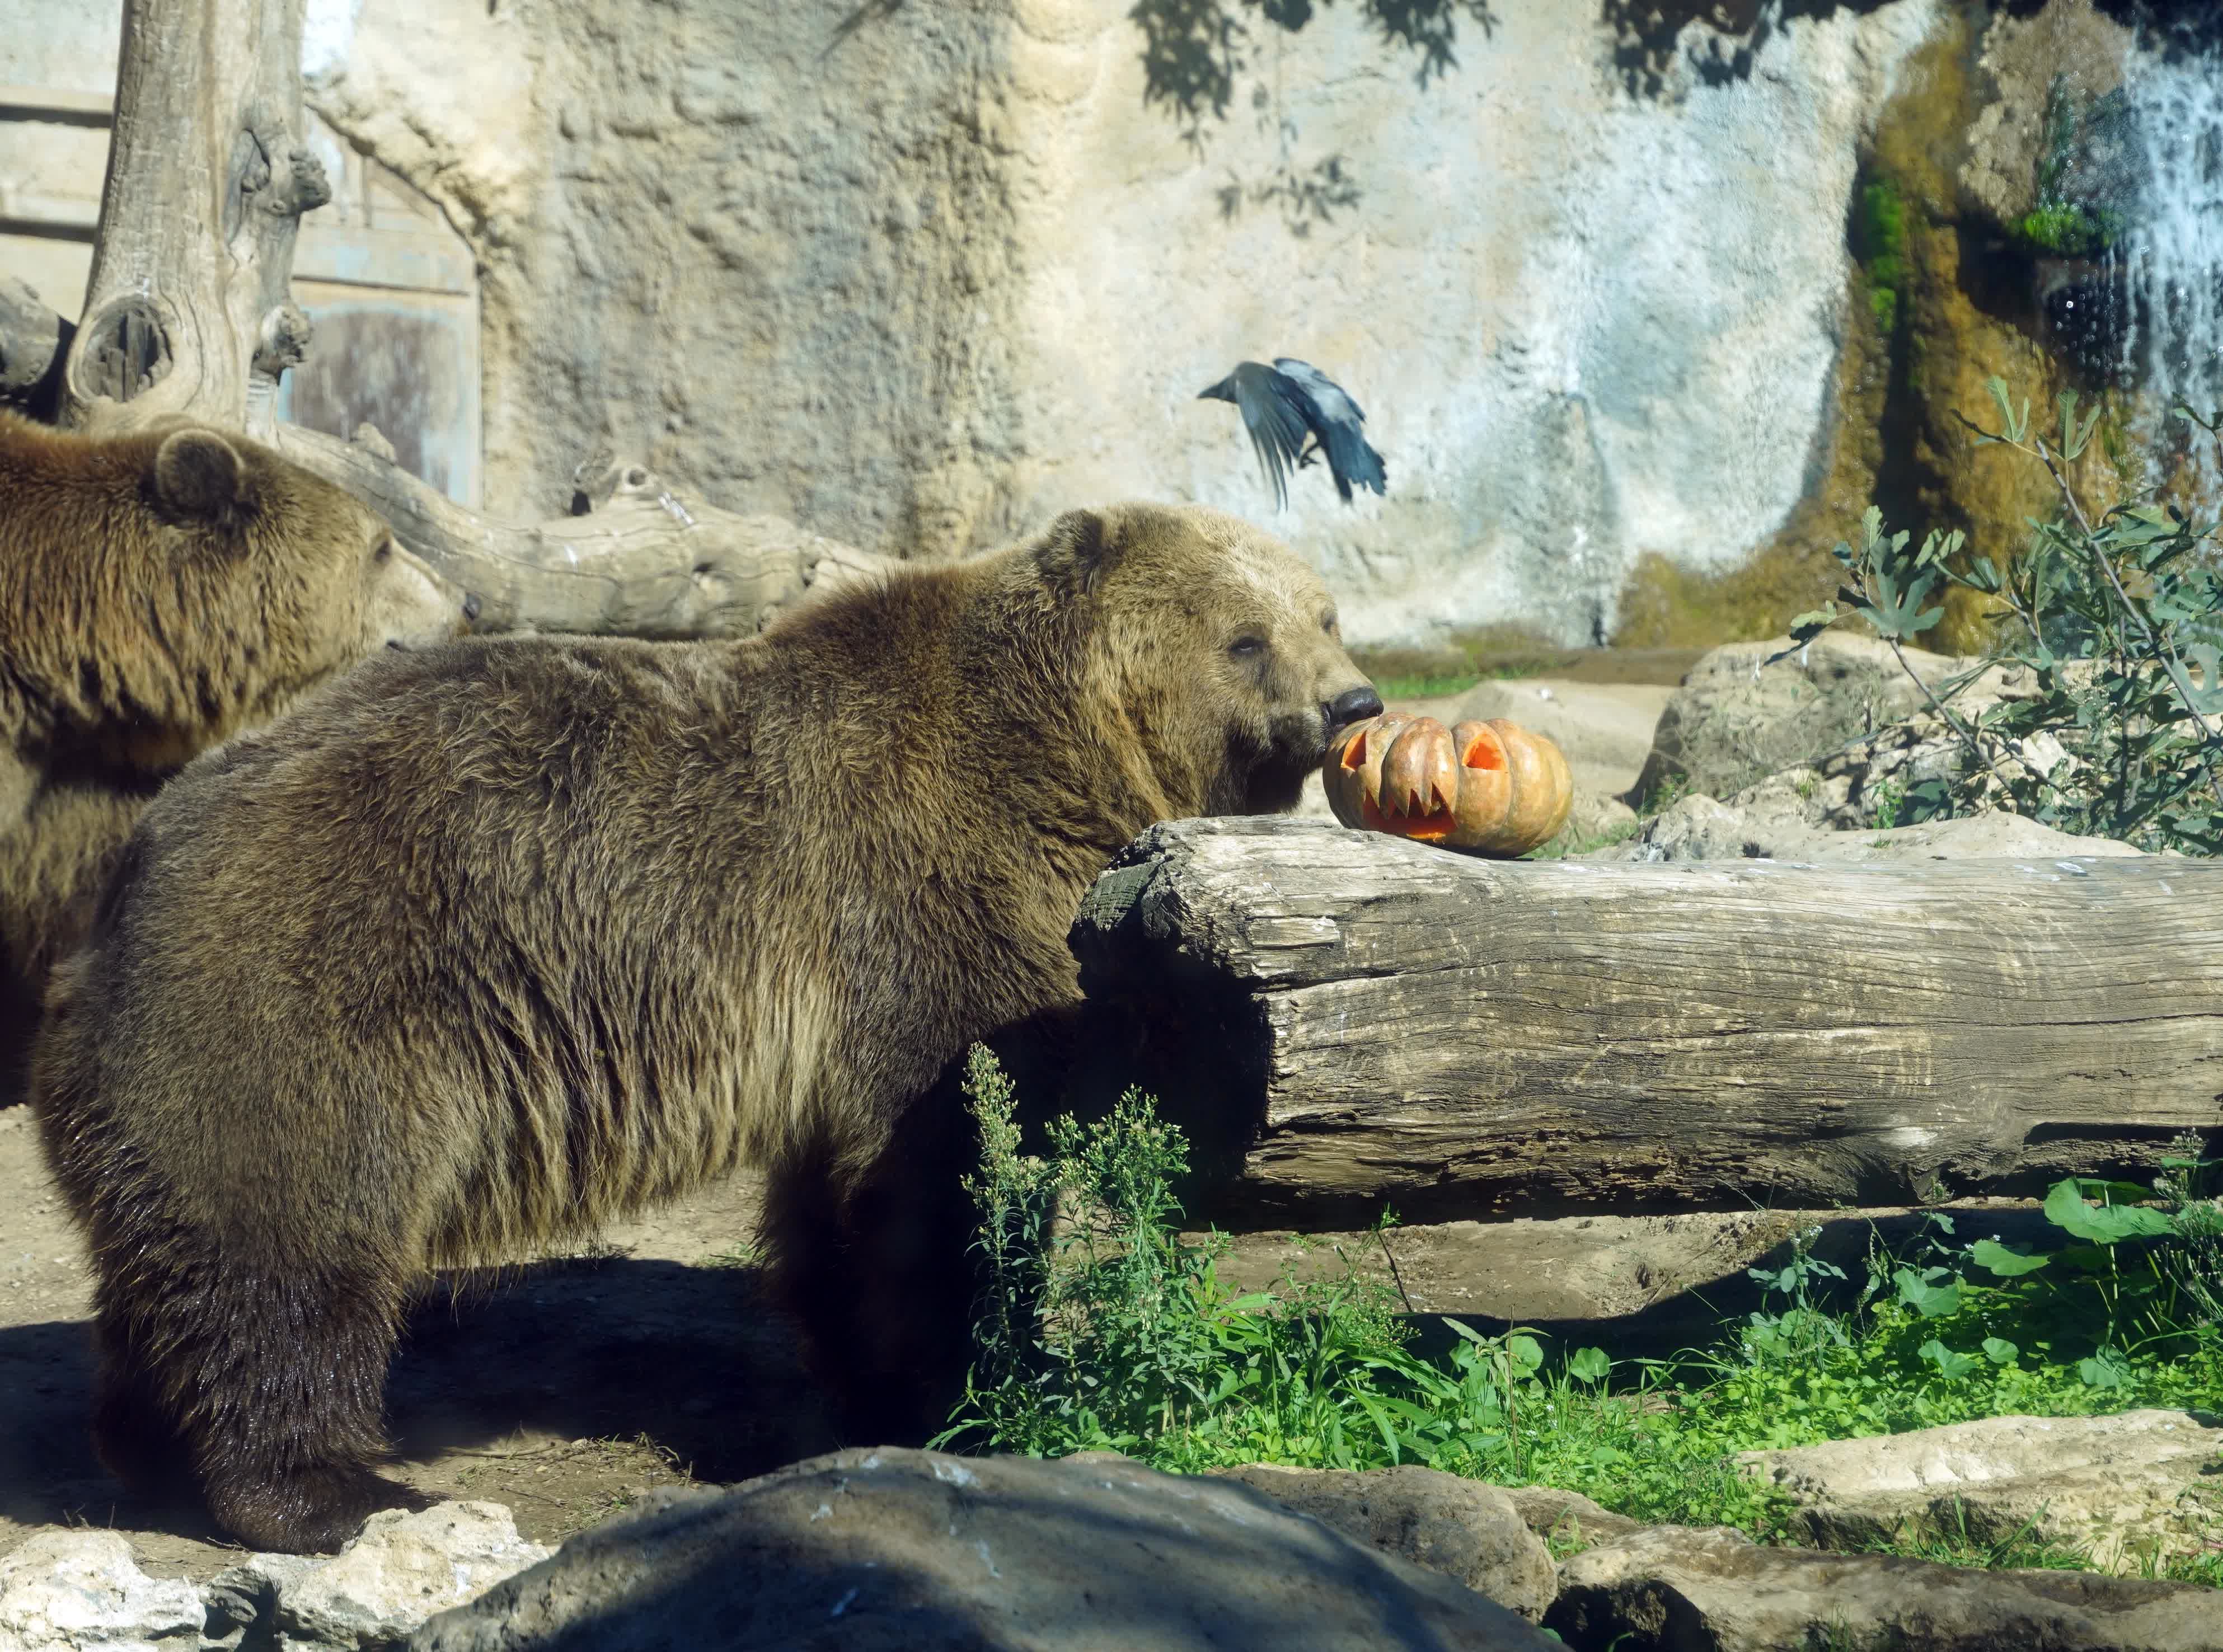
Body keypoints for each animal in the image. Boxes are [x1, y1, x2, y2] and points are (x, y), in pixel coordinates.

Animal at [35, 498, 1378, 1556]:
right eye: (1247, 635)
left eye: (1325, 612)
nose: (1352, 700)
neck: (1067, 756)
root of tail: (135, 865)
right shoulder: (925, 894)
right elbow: (941, 1152)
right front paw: (962, 1384)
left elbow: (842, 1194)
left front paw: (866, 1373)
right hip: (311, 1005)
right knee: (292, 1246)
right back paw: (330, 1490)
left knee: (176, 1263)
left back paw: (143, 1448)